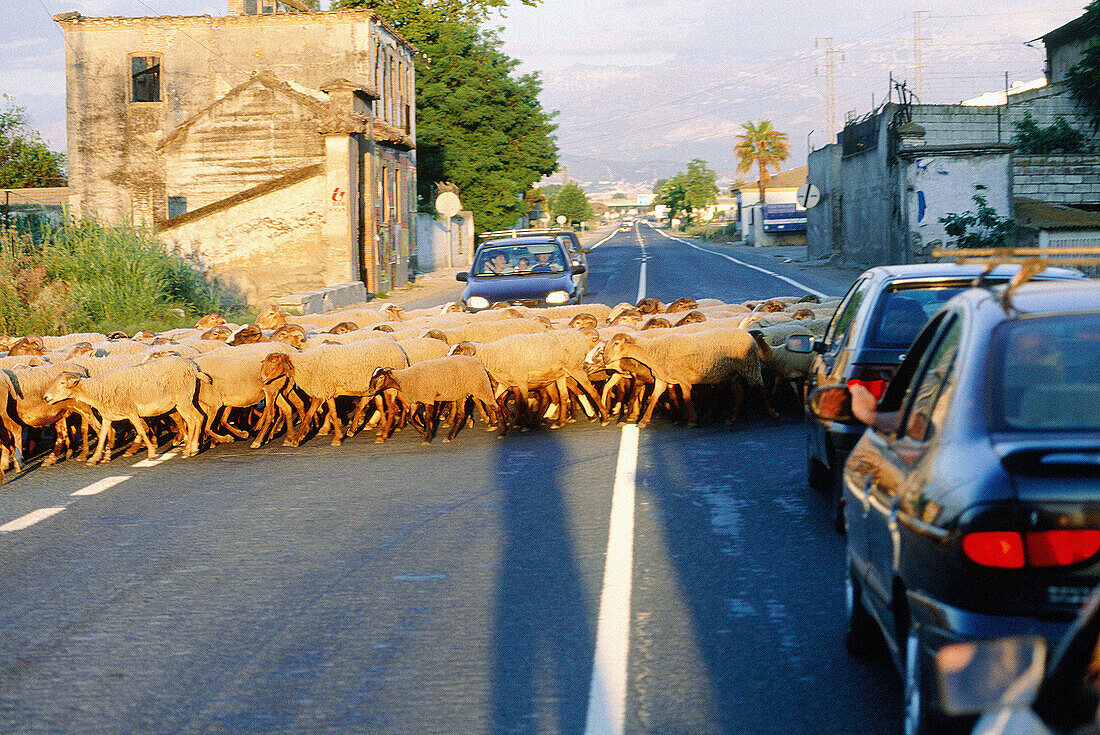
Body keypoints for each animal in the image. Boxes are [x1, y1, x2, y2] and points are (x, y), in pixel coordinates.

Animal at [41, 352, 209, 462]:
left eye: (62, 383)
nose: (45, 397)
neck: (98, 389)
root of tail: (194, 369)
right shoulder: (108, 415)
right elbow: (102, 435)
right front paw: (95, 458)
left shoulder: (131, 412)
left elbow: (141, 430)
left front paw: (151, 453)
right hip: (183, 400)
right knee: (198, 417)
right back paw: (194, 447)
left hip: (183, 399)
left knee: (192, 420)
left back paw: (188, 450)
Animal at [369, 354, 506, 442]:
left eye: (380, 377)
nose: (370, 390)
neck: (404, 379)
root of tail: (478, 362)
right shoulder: (417, 399)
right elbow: (409, 417)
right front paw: (423, 431)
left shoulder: (428, 398)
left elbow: (428, 417)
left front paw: (428, 437)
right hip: (461, 394)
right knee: (461, 414)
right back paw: (449, 437)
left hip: (481, 387)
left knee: (496, 406)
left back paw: (502, 432)